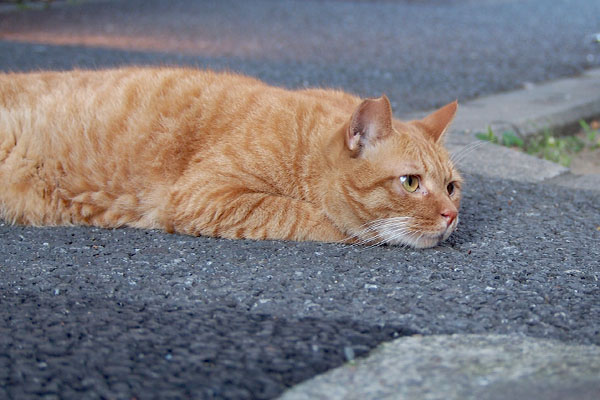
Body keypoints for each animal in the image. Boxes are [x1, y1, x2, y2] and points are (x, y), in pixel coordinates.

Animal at [0, 67, 462, 248]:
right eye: (411, 183)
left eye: (452, 187)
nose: (451, 215)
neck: (305, 145)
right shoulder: (205, 195)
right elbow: (302, 214)